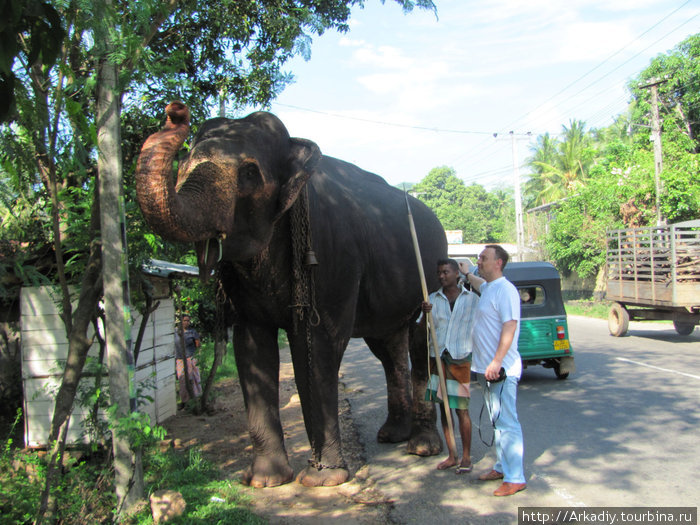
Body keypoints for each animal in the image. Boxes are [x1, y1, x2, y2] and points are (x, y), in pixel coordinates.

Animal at [134, 102, 446, 488]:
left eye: (249, 173)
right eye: (184, 165)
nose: (176, 111)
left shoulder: (331, 253)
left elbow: (318, 343)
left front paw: (324, 479)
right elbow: (251, 348)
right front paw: (265, 481)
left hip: (430, 275)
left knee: (421, 342)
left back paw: (422, 447)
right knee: (388, 348)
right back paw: (391, 435)